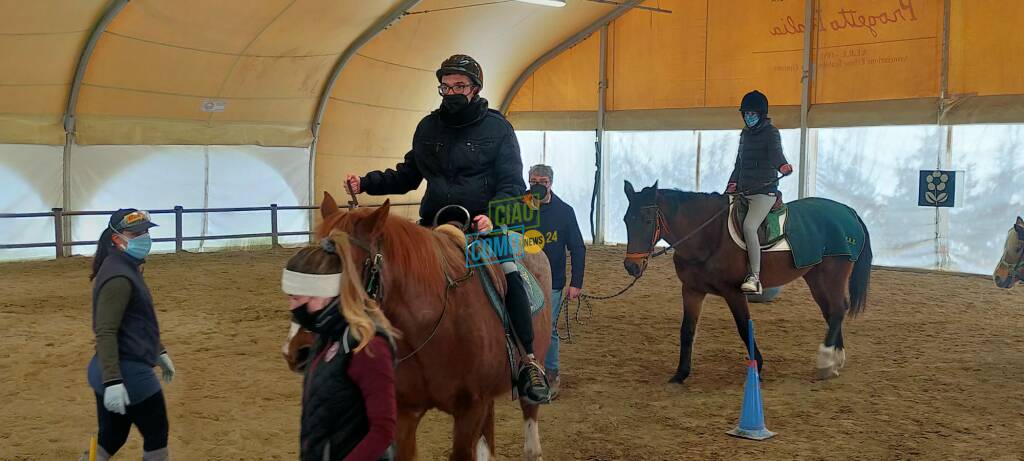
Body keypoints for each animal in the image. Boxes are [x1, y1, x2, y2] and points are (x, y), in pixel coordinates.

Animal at [614, 182, 872, 383]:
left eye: (647, 220)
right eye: (626, 219)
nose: (631, 266)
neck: (708, 235)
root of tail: (848, 211)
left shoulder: (734, 292)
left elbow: (742, 326)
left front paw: (758, 364)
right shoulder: (692, 290)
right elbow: (687, 330)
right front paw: (680, 374)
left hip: (833, 274)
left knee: (838, 309)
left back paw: (826, 361)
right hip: (815, 277)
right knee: (832, 312)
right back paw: (835, 361)